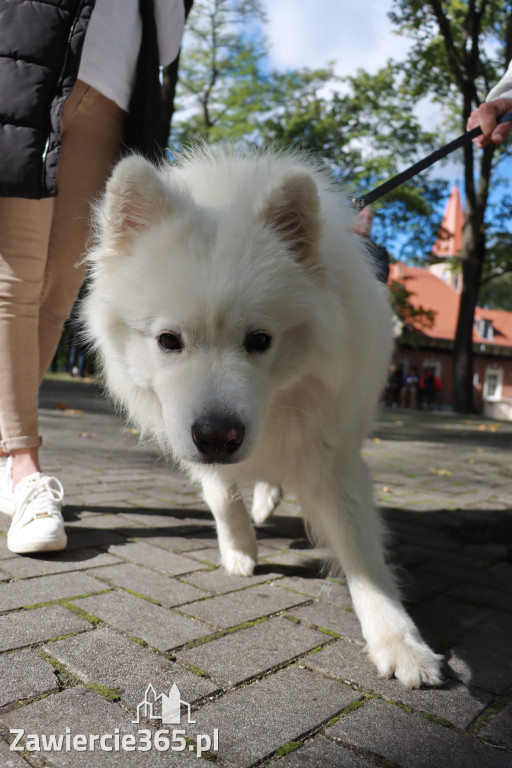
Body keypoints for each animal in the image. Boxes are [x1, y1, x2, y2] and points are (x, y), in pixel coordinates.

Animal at [82, 146, 442, 688]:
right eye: (168, 340)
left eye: (260, 340)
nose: (218, 437)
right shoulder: (193, 439)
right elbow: (220, 494)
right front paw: (239, 548)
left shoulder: (331, 454)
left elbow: (362, 552)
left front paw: (399, 642)